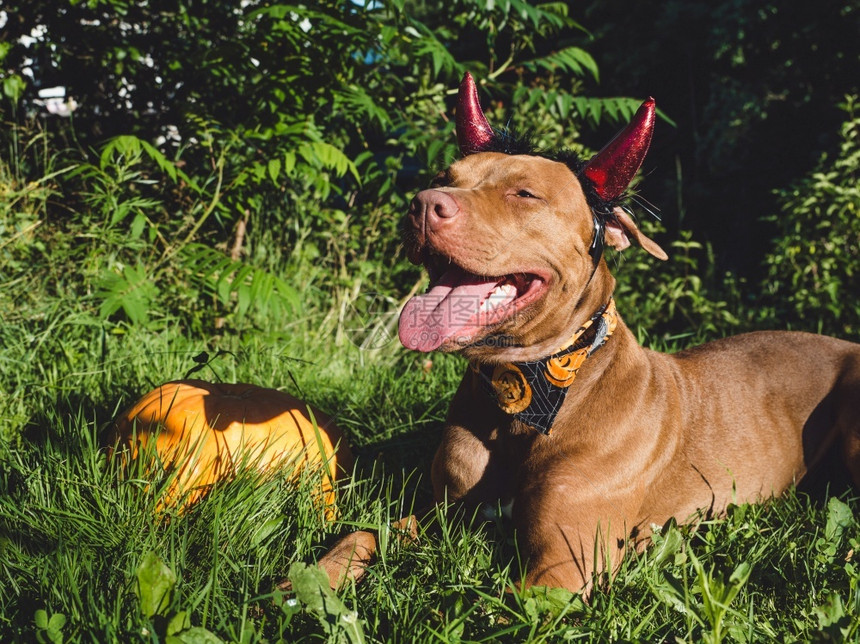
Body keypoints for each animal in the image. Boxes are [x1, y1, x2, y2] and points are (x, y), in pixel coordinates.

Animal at [316, 74, 860, 592]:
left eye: (524, 193)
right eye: (440, 178)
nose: (423, 203)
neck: (530, 392)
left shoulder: (562, 568)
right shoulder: (442, 516)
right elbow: (362, 534)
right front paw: (315, 579)